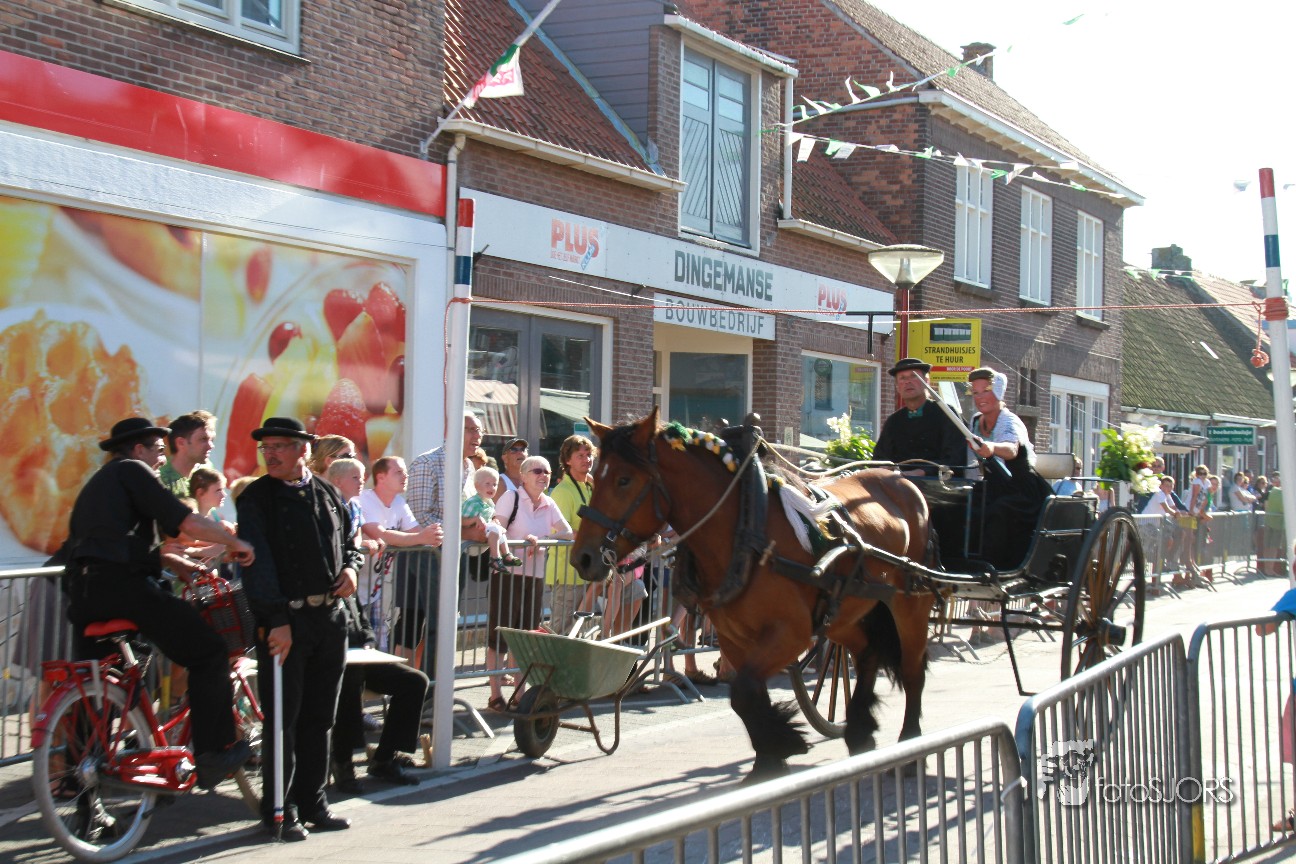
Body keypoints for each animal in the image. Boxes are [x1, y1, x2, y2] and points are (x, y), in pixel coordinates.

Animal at [571, 409, 936, 780]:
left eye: (624, 480)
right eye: (594, 476)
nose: (582, 558)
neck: (745, 529)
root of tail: (902, 480)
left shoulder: (792, 633)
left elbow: (745, 691)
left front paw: (782, 745)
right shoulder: (735, 637)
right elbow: (745, 695)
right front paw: (771, 756)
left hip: (911, 602)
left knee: (912, 670)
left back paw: (909, 746)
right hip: (844, 613)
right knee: (867, 653)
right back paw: (860, 731)